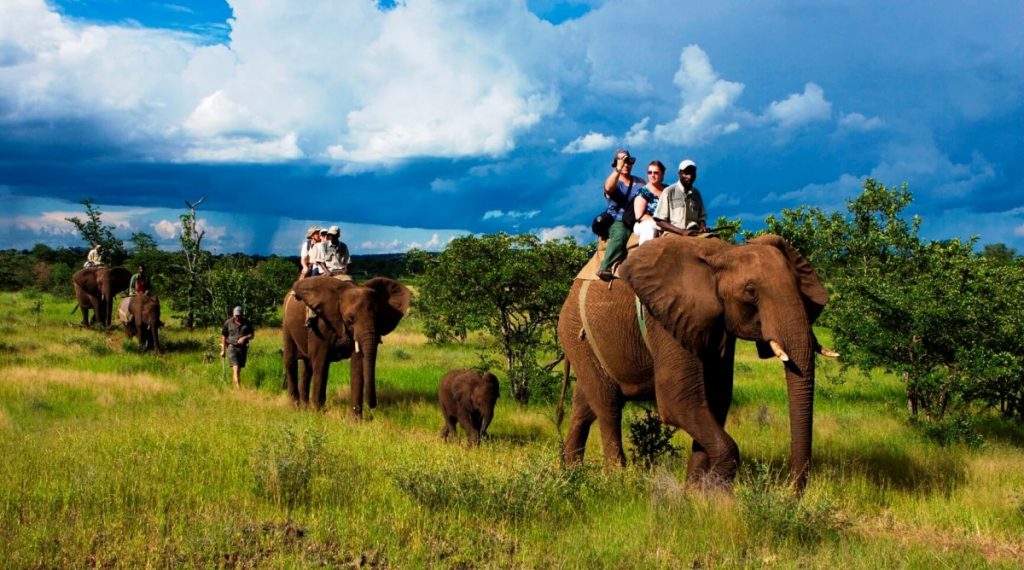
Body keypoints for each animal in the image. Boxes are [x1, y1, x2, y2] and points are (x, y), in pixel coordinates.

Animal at [561, 233, 831, 491]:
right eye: (751, 292)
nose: (791, 493)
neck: (725, 253)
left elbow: (716, 398)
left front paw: (695, 493)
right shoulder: (665, 317)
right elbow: (679, 401)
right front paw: (716, 493)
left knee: (584, 407)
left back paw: (572, 473)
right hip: (577, 334)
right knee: (608, 407)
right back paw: (616, 479)